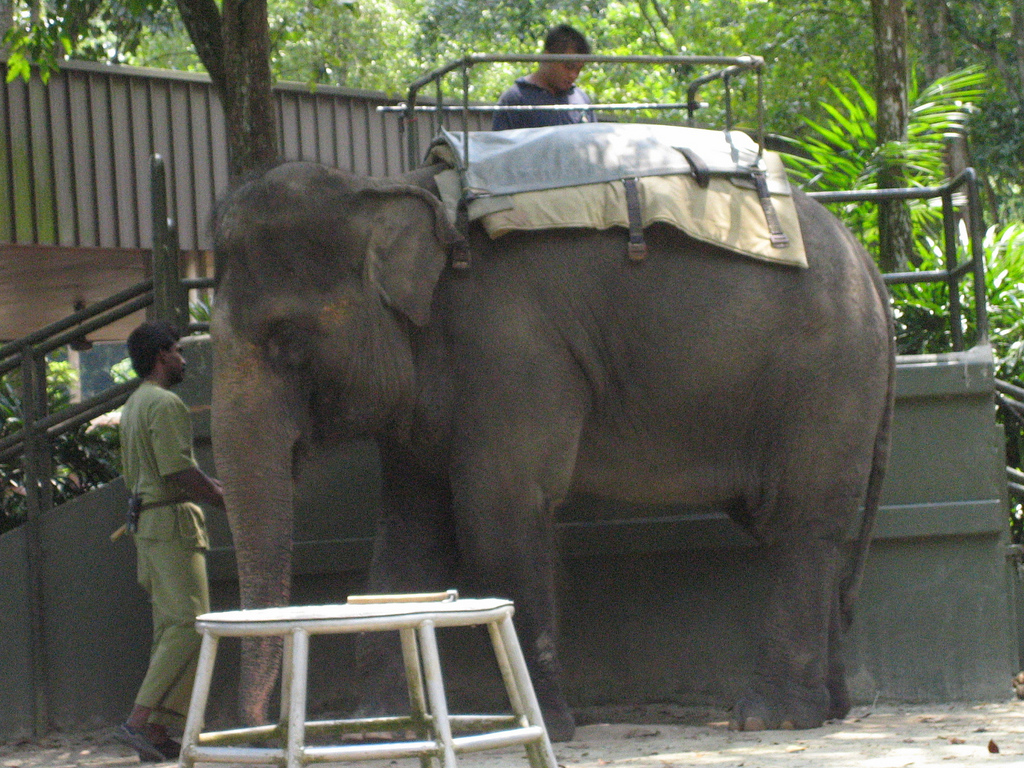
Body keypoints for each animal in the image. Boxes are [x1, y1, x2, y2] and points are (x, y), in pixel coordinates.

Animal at [209, 156, 895, 741]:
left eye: (287, 340)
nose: (254, 731)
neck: (383, 187)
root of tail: (868, 263)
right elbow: (410, 531)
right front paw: (379, 728)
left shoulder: (513, 347)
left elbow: (498, 512)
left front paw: (545, 727)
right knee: (794, 527)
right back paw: (830, 711)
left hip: (825, 375)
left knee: (800, 521)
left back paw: (771, 719)